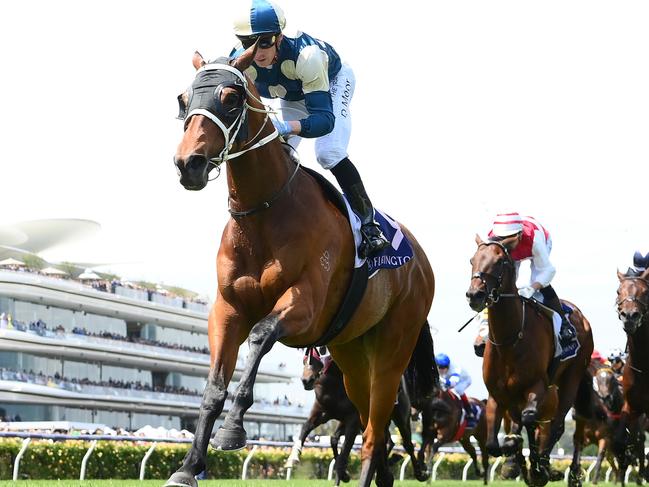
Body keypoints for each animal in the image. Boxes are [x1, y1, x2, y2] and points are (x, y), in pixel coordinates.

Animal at [288, 346, 430, 484]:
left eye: (321, 355)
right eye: (305, 357)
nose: (306, 380)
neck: (334, 386)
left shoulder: (353, 420)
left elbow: (344, 452)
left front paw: (344, 475)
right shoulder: (323, 413)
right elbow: (308, 428)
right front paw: (293, 458)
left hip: (401, 418)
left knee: (407, 444)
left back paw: (419, 473)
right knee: (386, 440)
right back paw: (384, 471)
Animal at [466, 234, 592, 487]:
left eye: (500, 262)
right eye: (473, 260)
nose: (475, 295)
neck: (509, 340)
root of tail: (581, 315)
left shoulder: (537, 386)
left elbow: (529, 420)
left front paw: (536, 466)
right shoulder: (498, 395)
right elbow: (493, 444)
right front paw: (516, 462)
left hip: (571, 379)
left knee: (556, 424)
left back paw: (549, 468)